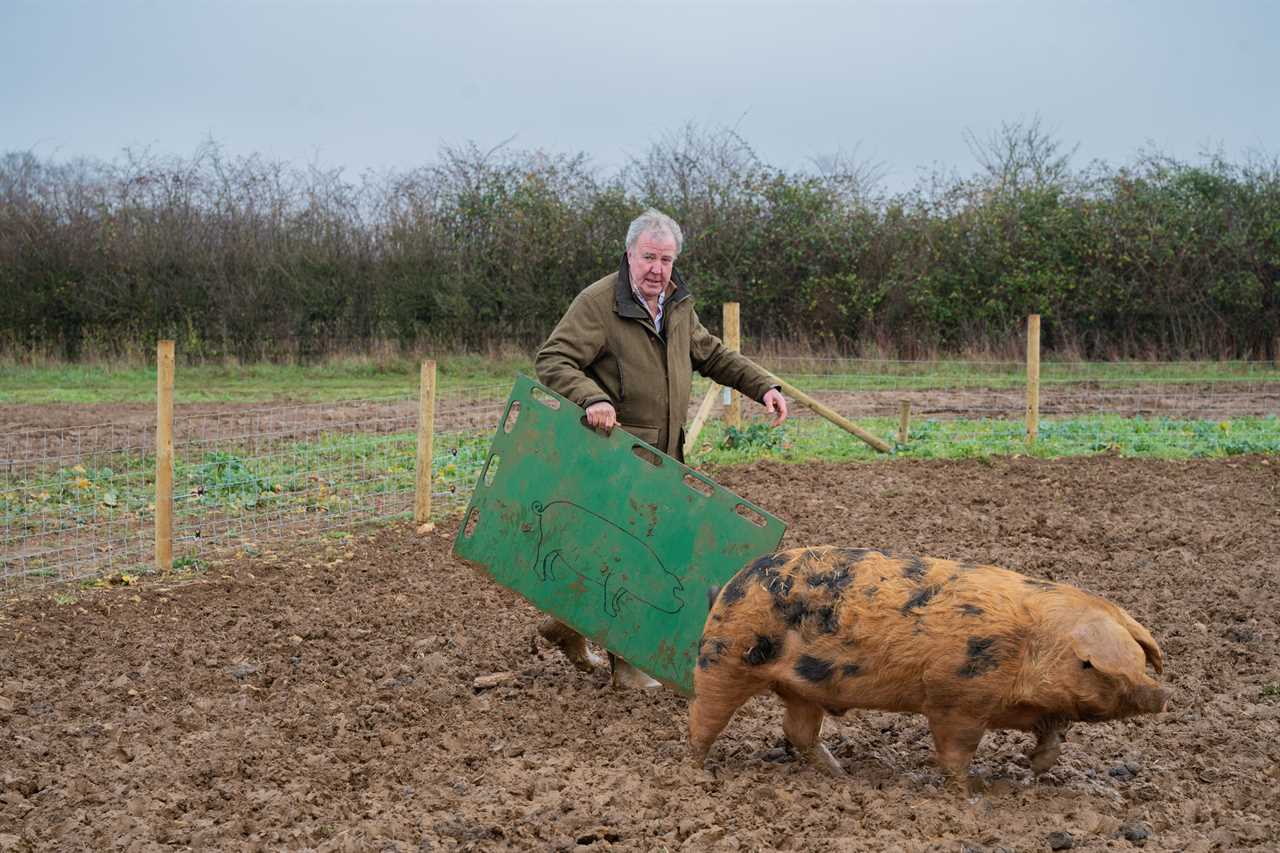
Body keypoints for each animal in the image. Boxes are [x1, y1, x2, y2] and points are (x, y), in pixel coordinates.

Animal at [691, 545, 1172, 778]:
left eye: (1139, 658)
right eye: (1091, 665)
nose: (1163, 694)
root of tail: (731, 583)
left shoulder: (1035, 708)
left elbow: (1053, 732)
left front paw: (1035, 769)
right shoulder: (954, 697)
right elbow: (955, 750)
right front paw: (969, 790)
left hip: (801, 686)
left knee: (797, 730)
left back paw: (840, 775)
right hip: (725, 658)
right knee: (703, 716)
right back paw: (696, 772)